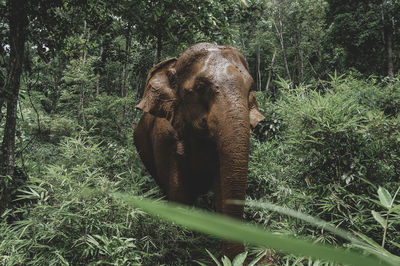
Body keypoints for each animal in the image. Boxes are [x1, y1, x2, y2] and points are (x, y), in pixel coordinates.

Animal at [134, 42, 266, 258]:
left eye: (250, 88)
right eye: (200, 87)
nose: (240, 257)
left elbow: (222, 189)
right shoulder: (165, 139)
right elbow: (178, 193)